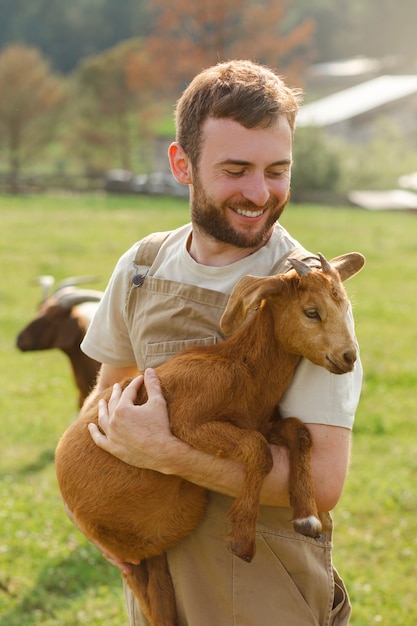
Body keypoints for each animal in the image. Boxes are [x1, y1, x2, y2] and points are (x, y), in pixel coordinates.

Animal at [56, 250, 364, 624]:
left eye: (345, 307)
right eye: (311, 312)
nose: (348, 357)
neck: (242, 371)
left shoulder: (259, 420)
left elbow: (299, 432)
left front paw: (306, 516)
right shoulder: (188, 422)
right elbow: (259, 450)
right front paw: (242, 539)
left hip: (148, 560)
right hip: (124, 554)